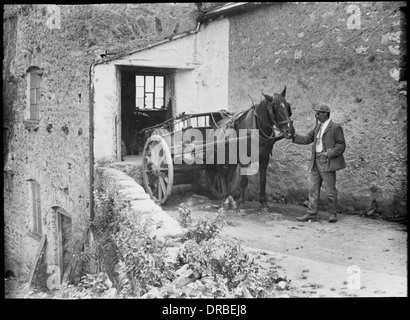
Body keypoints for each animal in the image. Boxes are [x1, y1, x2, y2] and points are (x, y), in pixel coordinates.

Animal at [215, 86, 294, 214]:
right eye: (275, 108)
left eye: (288, 106)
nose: (290, 131)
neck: (257, 130)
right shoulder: (244, 159)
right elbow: (243, 181)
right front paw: (242, 206)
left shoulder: (264, 158)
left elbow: (263, 180)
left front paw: (264, 205)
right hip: (219, 158)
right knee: (221, 175)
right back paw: (224, 201)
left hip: (232, 158)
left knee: (229, 176)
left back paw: (231, 201)